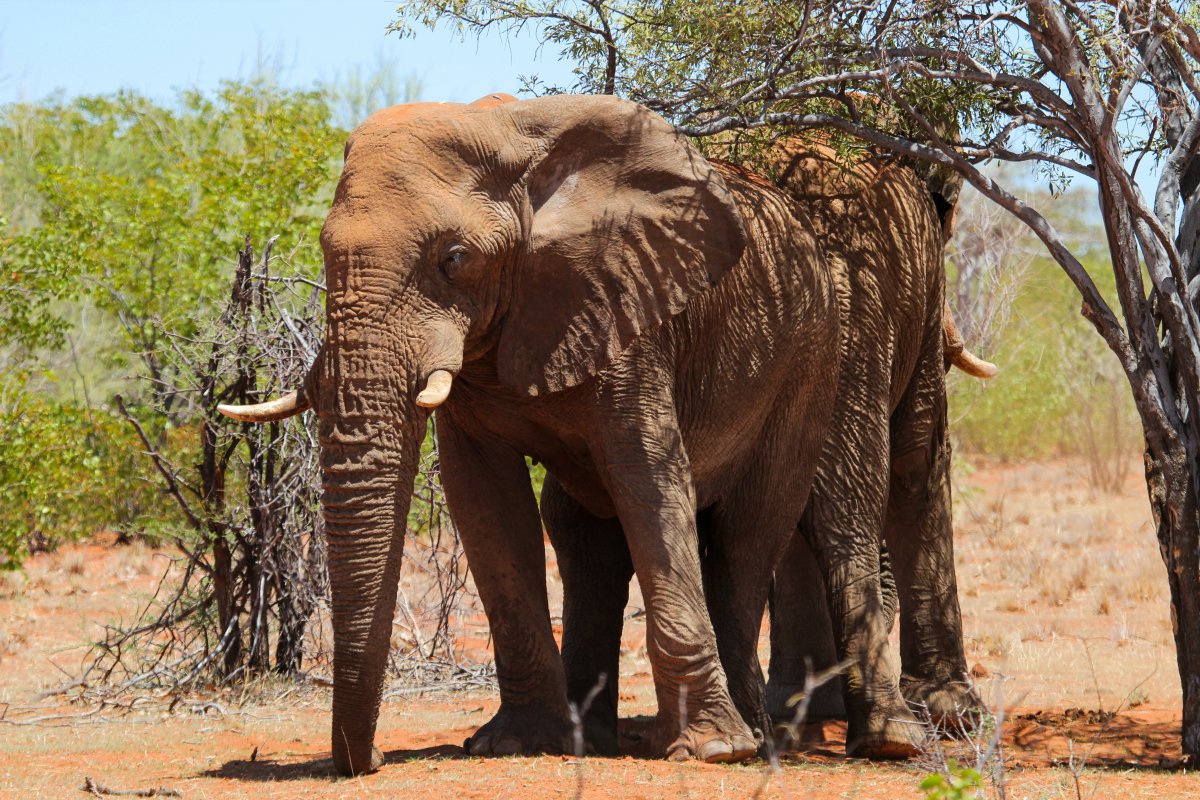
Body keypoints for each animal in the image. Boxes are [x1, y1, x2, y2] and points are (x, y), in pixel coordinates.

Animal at [220, 94, 849, 777]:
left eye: (454, 257)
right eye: (325, 251)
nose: (374, 759)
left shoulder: (624, 305)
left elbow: (649, 481)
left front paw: (709, 751)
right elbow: (486, 501)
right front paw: (517, 742)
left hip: (810, 359)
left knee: (745, 537)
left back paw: (752, 739)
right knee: (586, 539)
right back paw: (594, 736)